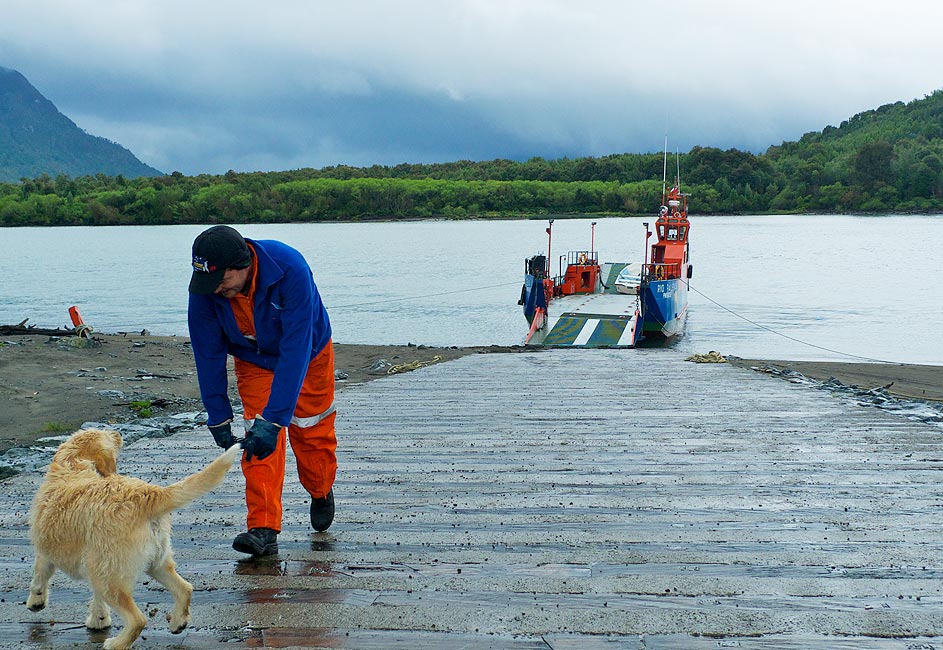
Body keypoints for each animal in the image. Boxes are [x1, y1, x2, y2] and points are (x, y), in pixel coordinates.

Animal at [26, 427, 241, 650]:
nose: (117, 432)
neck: (74, 463)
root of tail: (147, 494)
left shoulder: (46, 552)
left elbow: (39, 575)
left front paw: (36, 600)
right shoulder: (95, 565)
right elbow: (96, 598)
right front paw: (99, 619)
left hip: (111, 580)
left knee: (138, 620)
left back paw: (116, 643)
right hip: (154, 564)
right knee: (185, 589)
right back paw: (178, 622)